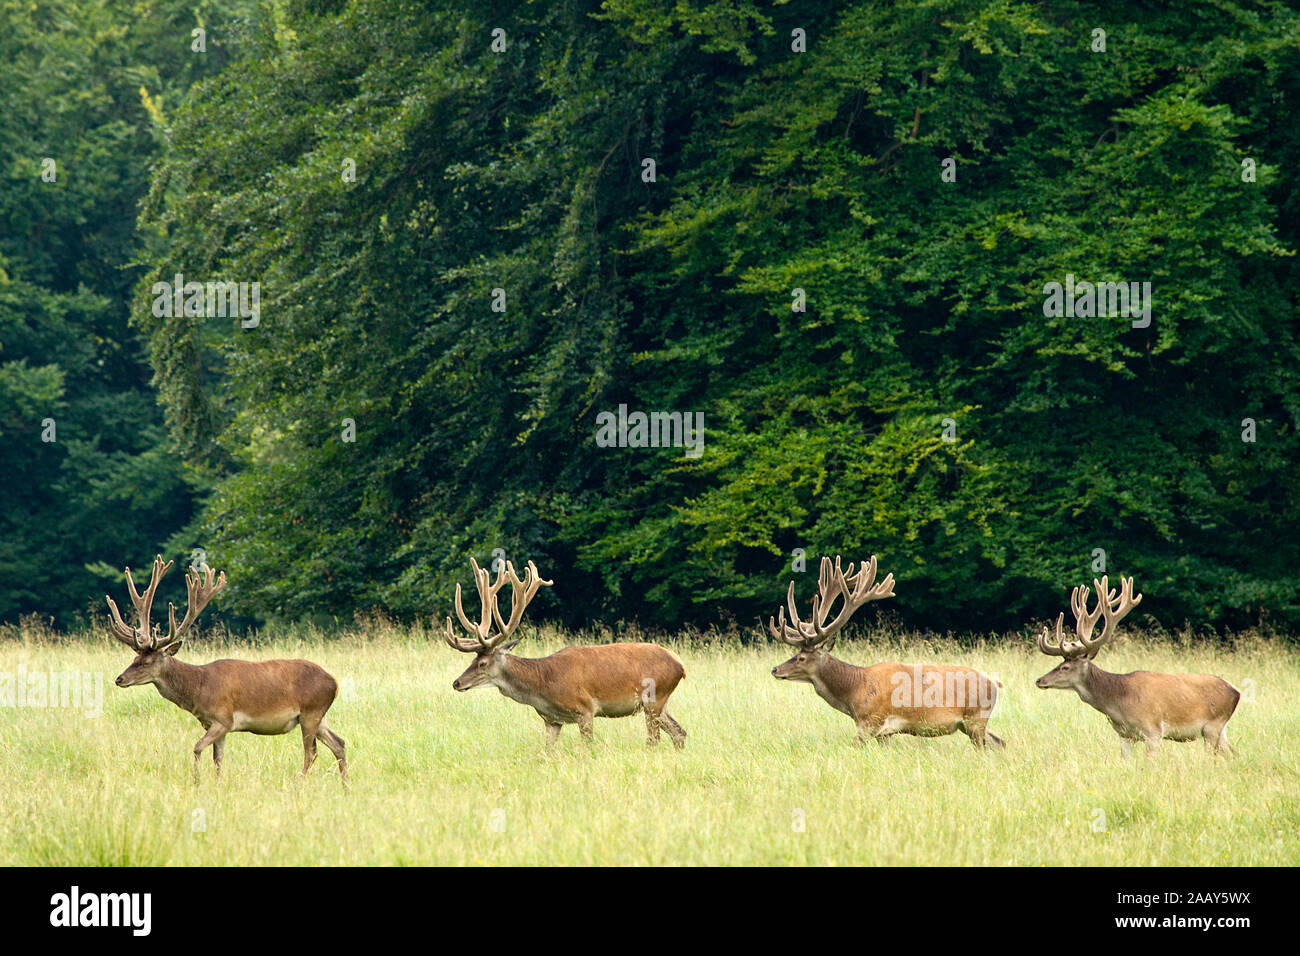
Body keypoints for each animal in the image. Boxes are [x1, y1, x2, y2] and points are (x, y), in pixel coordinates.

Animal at [107, 554, 348, 785]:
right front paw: (218, 784)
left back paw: (300, 782)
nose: (119, 679)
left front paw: (196, 782)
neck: (199, 688)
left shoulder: (223, 719)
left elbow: (197, 748)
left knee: (312, 752)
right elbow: (218, 759)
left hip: (311, 711)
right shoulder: (213, 725)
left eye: (147, 661)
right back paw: (345, 785)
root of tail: (335, 682)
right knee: (339, 743)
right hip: (319, 716)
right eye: (135, 657)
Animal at [444, 556, 691, 749]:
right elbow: (548, 752)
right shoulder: (552, 721)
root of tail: (680, 666)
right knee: (680, 733)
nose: (456, 682)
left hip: (654, 699)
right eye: (473, 659)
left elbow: (588, 748)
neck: (544, 686)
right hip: (661, 703)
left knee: (654, 740)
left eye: (483, 663)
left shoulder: (586, 709)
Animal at [769, 556, 1003, 749]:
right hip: (971, 724)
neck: (854, 692)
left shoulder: (872, 721)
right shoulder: (885, 733)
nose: (775, 669)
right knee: (1000, 742)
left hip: (976, 719)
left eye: (801, 658)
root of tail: (995, 683)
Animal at [1034, 574, 1237, 754]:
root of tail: (1236, 692)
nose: (1039, 680)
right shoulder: (1124, 735)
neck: (1118, 705)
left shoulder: (1153, 731)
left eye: (1065, 667)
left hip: (1212, 726)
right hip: (1220, 731)